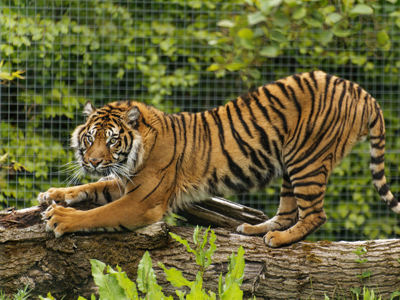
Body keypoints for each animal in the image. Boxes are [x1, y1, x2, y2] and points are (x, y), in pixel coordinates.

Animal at [38, 71, 400, 248]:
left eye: (112, 140)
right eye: (89, 138)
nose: (93, 161)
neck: (136, 153)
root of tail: (361, 91)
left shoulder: (143, 200)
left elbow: (100, 212)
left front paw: (62, 219)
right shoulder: (127, 182)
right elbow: (93, 188)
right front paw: (52, 194)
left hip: (307, 160)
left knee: (315, 214)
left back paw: (279, 239)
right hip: (290, 163)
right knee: (288, 210)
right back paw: (254, 229)